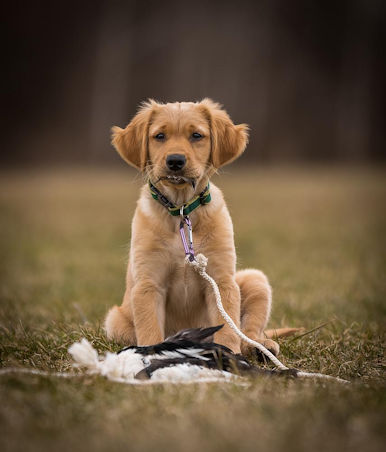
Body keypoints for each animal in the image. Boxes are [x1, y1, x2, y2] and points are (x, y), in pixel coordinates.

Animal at [105, 99, 278, 356]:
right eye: (159, 136)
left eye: (196, 135)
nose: (175, 161)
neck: (181, 210)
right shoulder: (148, 284)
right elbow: (150, 330)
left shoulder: (222, 280)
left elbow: (229, 327)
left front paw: (231, 358)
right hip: (114, 319)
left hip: (255, 280)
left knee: (249, 332)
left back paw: (260, 347)